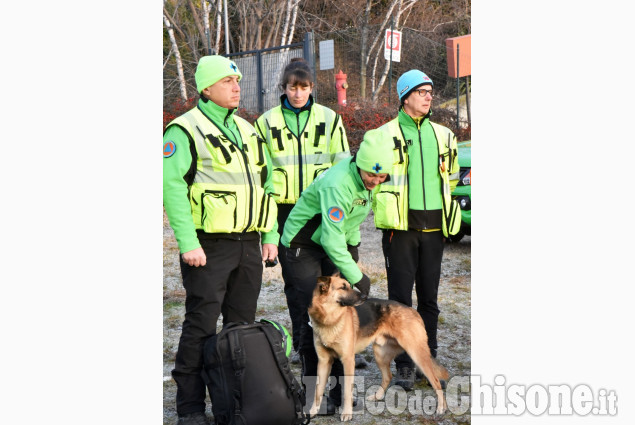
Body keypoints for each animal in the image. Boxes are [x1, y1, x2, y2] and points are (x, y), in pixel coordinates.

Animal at [306, 274, 448, 420]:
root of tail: (413, 311)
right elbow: (318, 391)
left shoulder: (348, 361)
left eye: (349, 285)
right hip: (380, 355)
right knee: (388, 376)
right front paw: (313, 411)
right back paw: (377, 396)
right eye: (343, 287)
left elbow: (346, 390)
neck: (329, 320)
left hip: (417, 355)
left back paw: (441, 407)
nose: (364, 296)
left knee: (436, 381)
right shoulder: (324, 362)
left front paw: (347, 413)